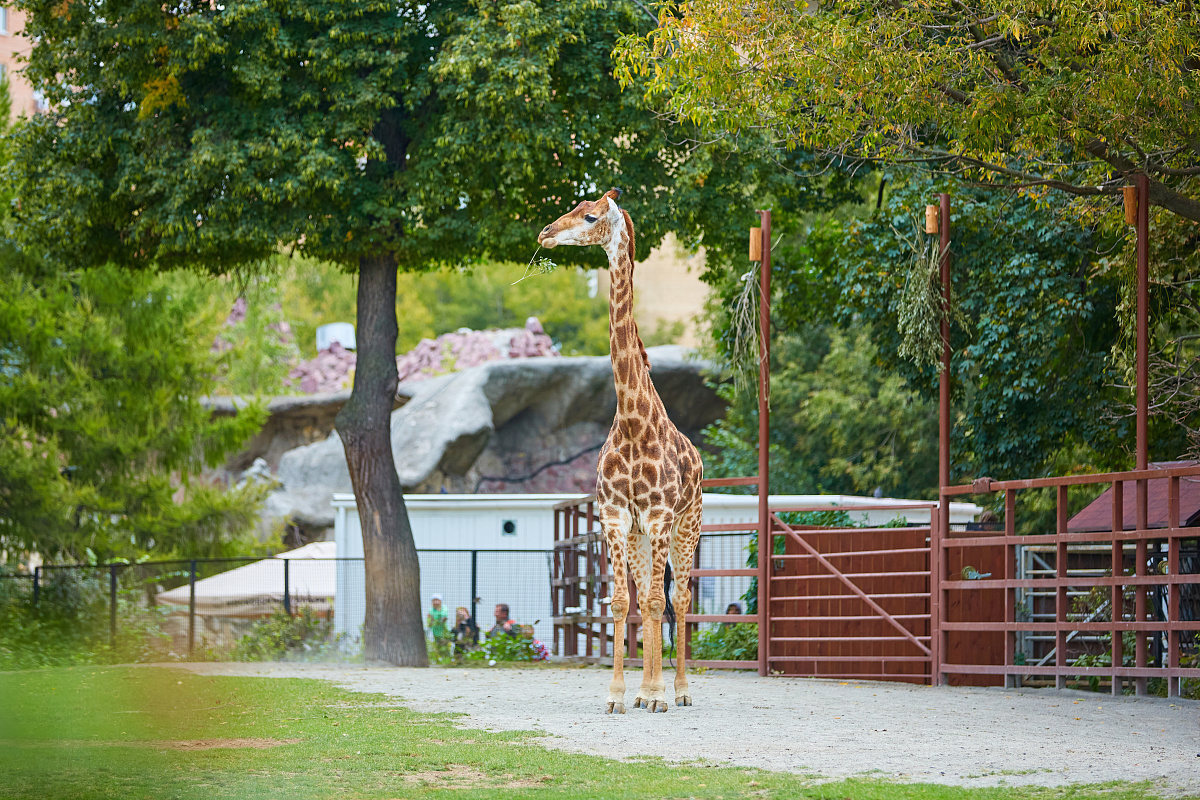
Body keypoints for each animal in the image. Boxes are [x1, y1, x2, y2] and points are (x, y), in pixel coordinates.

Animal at [538, 188, 704, 713]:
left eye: (590, 215)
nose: (545, 233)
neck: (632, 420)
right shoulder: (615, 516)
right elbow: (621, 603)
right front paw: (617, 696)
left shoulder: (659, 517)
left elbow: (655, 602)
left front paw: (658, 695)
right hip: (639, 537)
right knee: (651, 597)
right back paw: (646, 691)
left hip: (686, 527)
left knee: (679, 599)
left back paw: (678, 691)